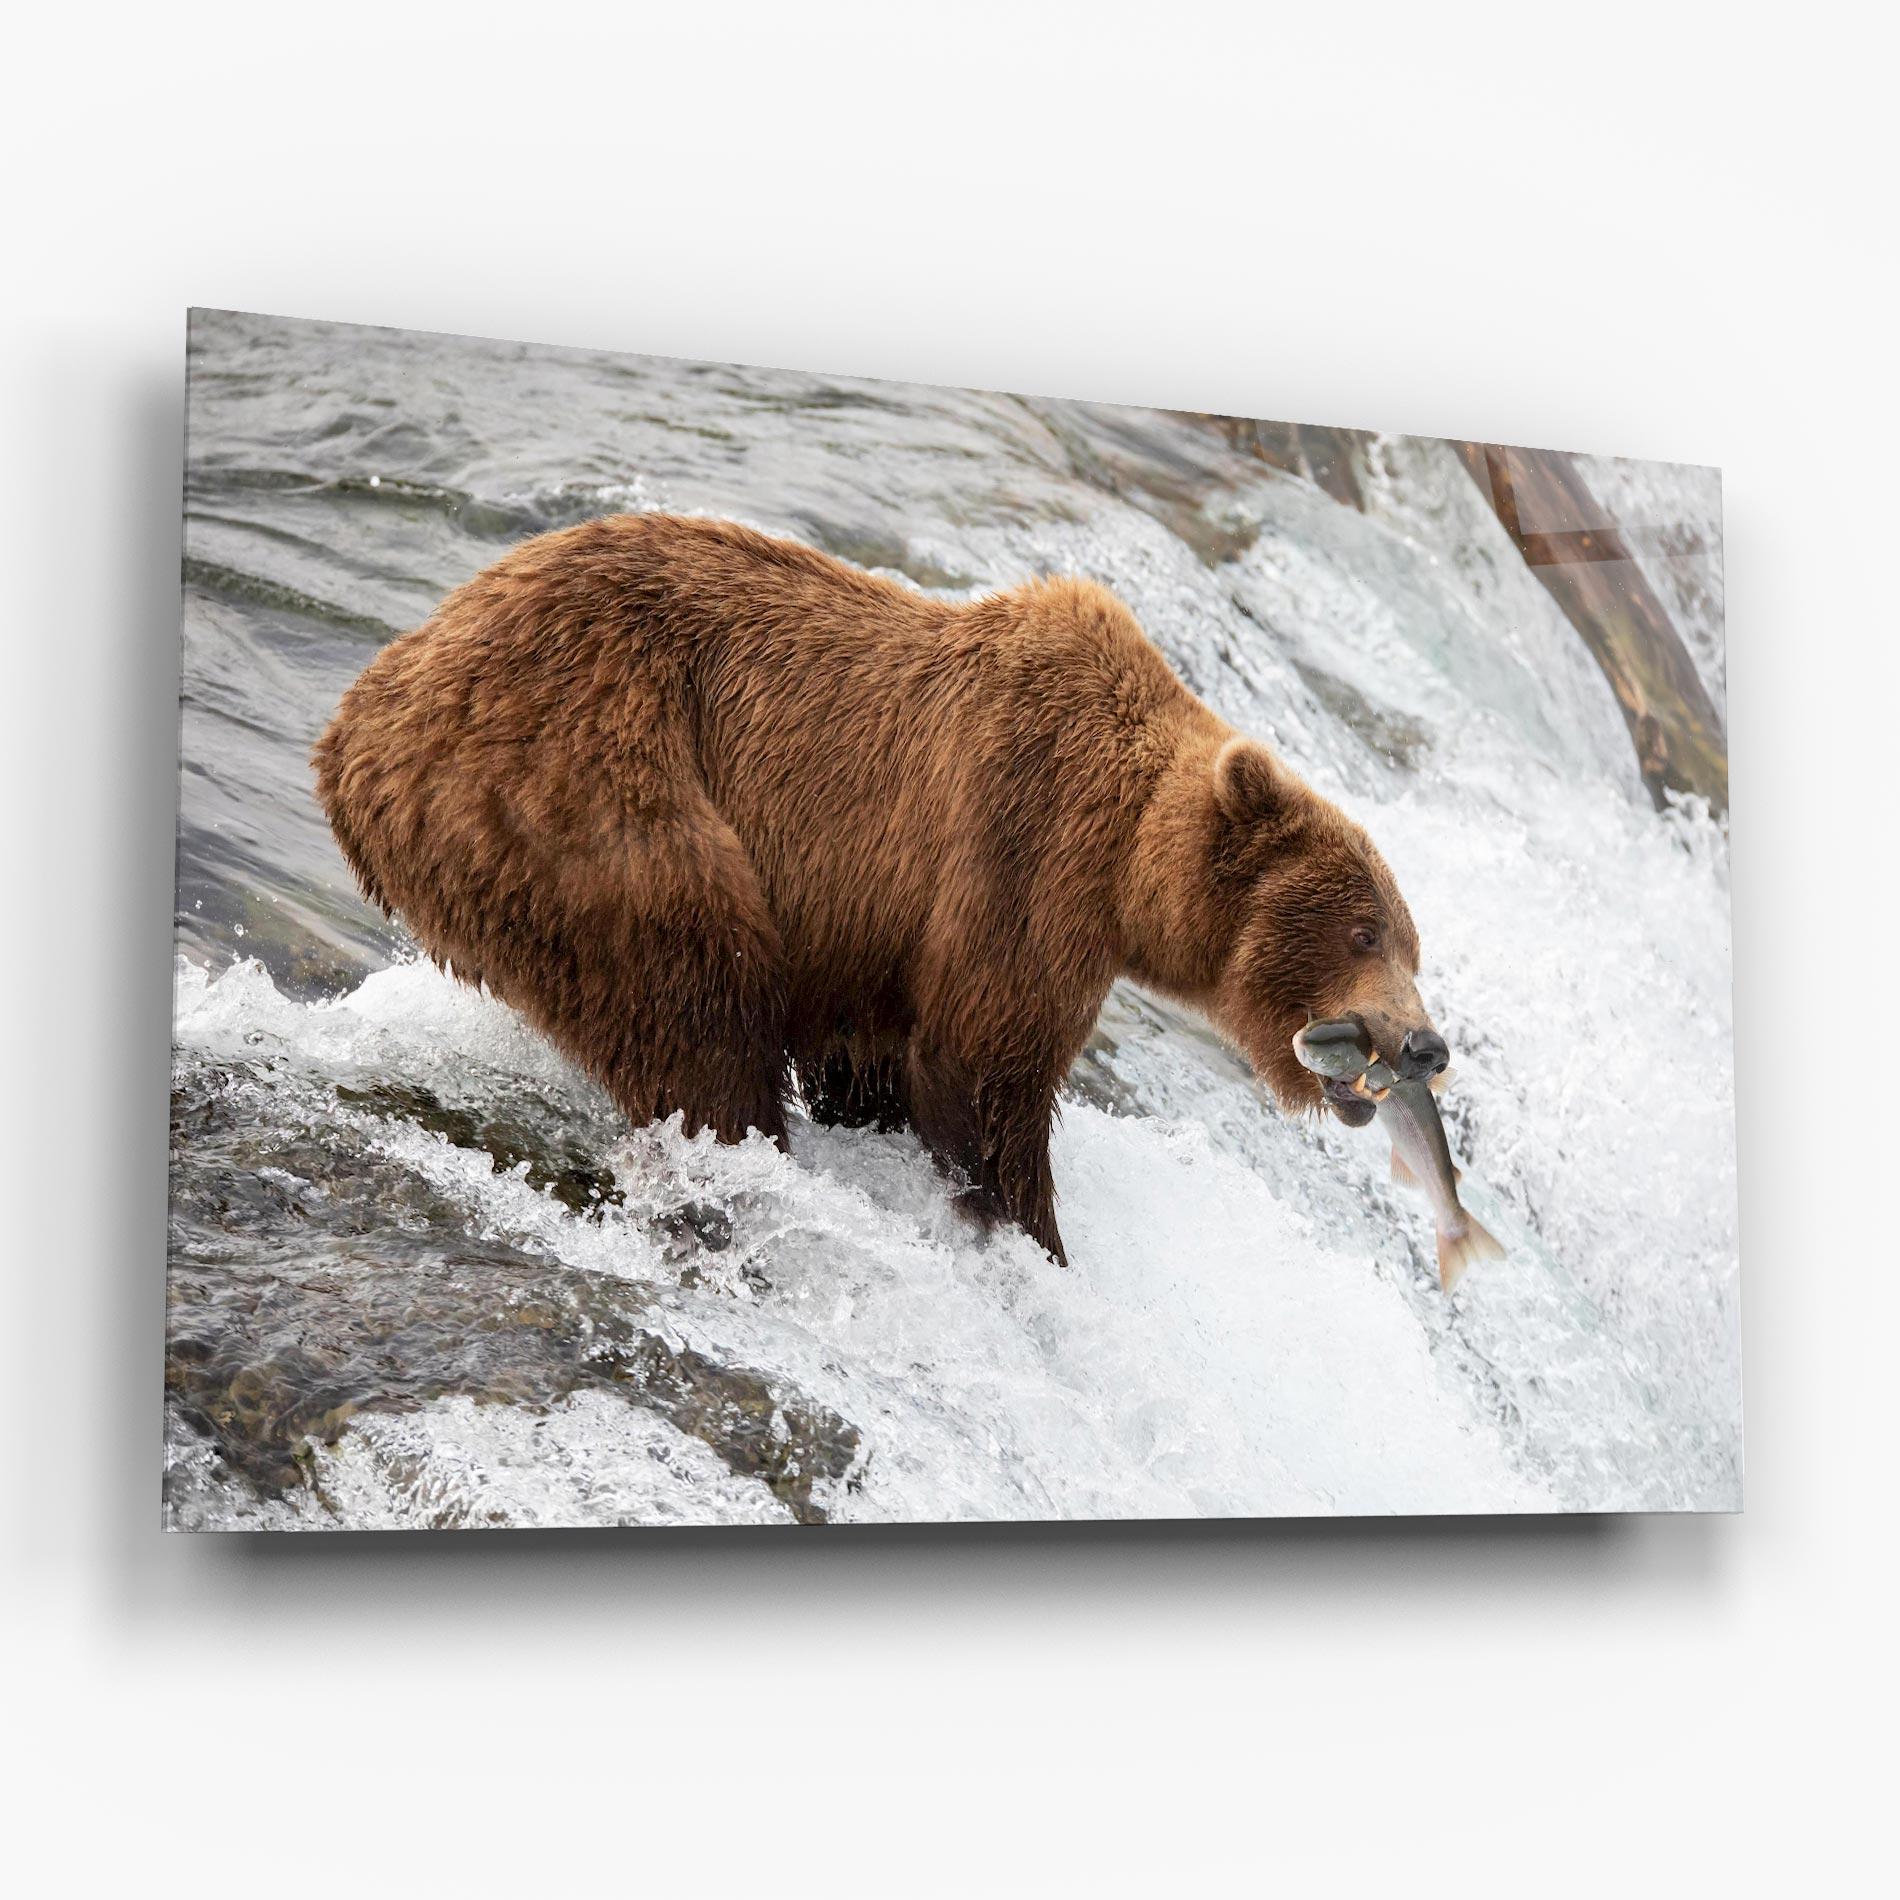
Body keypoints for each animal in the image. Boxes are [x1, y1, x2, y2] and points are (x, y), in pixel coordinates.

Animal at [313, 513, 1447, 1266]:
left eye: (1410, 942)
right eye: (1362, 930)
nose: (1424, 1045)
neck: (1130, 862)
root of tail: (360, 714)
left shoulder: (875, 933)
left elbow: (878, 1061)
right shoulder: (1021, 849)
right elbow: (985, 1069)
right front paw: (1031, 1236)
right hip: (583, 782)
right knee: (696, 1001)